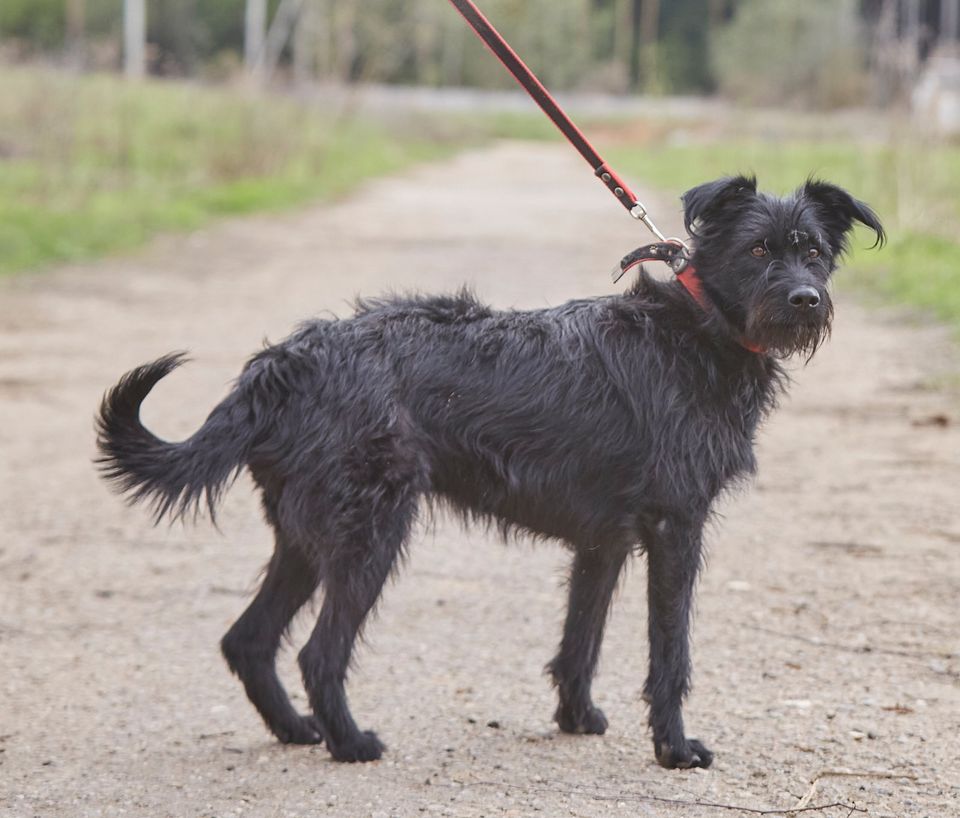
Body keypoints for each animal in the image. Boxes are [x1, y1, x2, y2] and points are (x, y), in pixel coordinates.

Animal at [97, 175, 884, 768]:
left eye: (814, 252)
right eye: (758, 250)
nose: (806, 299)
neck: (697, 326)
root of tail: (285, 361)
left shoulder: (604, 541)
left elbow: (580, 640)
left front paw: (576, 716)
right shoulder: (675, 528)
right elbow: (670, 651)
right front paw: (674, 748)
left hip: (307, 536)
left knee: (249, 641)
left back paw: (297, 732)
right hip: (368, 534)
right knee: (319, 653)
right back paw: (350, 742)